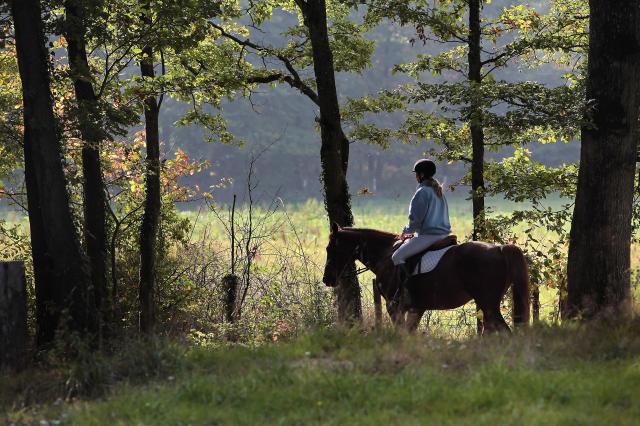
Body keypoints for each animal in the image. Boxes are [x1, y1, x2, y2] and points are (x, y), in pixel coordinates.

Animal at [320, 223, 528, 332]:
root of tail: (499, 248)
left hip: (488, 303)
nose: (327, 279)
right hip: (486, 304)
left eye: (330, 248)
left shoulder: (393, 307)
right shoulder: (417, 309)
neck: (385, 255)